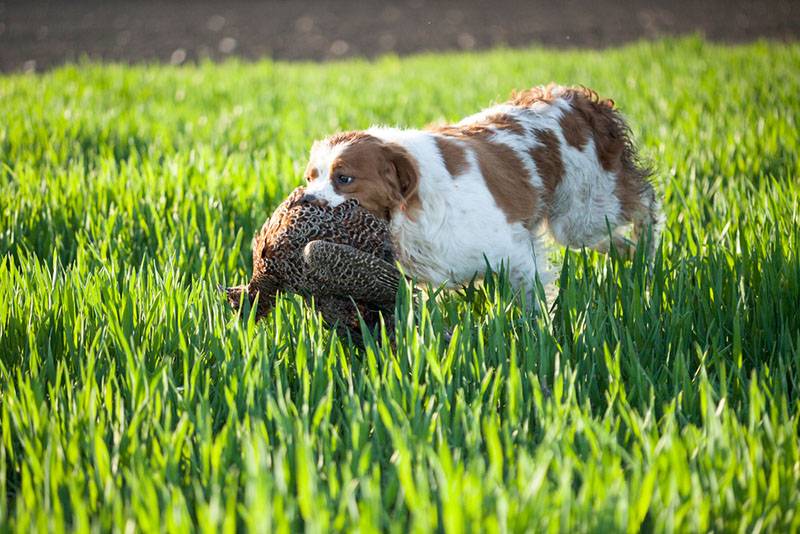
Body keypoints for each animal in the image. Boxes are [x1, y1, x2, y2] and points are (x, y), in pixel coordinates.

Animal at [300, 84, 664, 302]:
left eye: (344, 178)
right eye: (309, 177)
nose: (305, 200)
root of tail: (579, 99)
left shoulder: (514, 253)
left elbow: (533, 308)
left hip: (583, 213)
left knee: (647, 202)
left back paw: (648, 259)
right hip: (578, 225)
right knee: (615, 239)